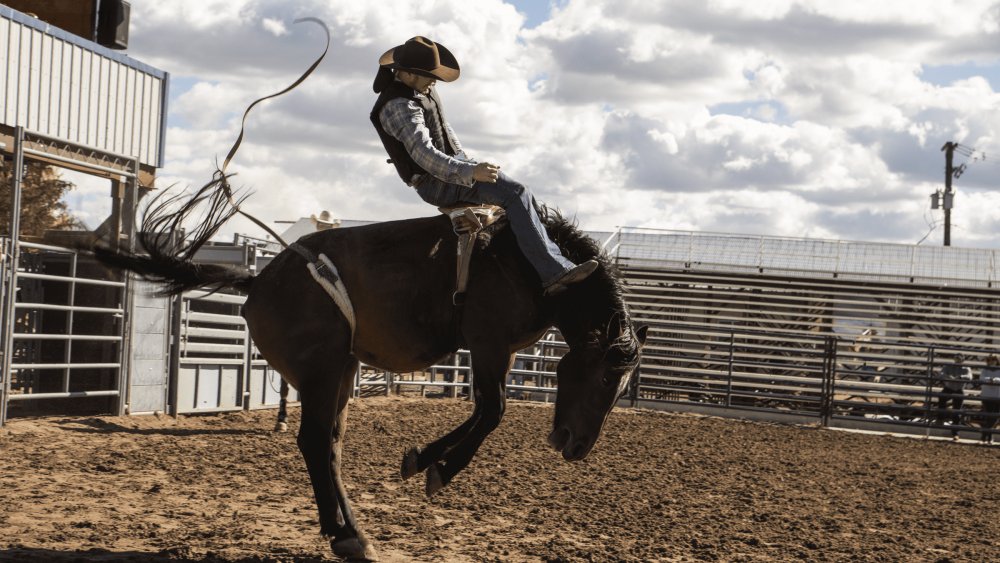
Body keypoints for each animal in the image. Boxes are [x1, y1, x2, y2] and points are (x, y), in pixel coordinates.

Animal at [94, 182, 648, 563]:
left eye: (623, 385)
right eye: (606, 378)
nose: (577, 447)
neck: (533, 266)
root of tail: (258, 280)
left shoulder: (500, 352)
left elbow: (484, 412)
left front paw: (419, 460)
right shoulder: (488, 343)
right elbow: (493, 411)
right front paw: (437, 468)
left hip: (341, 369)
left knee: (330, 445)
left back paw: (349, 532)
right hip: (320, 370)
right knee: (316, 440)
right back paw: (347, 534)